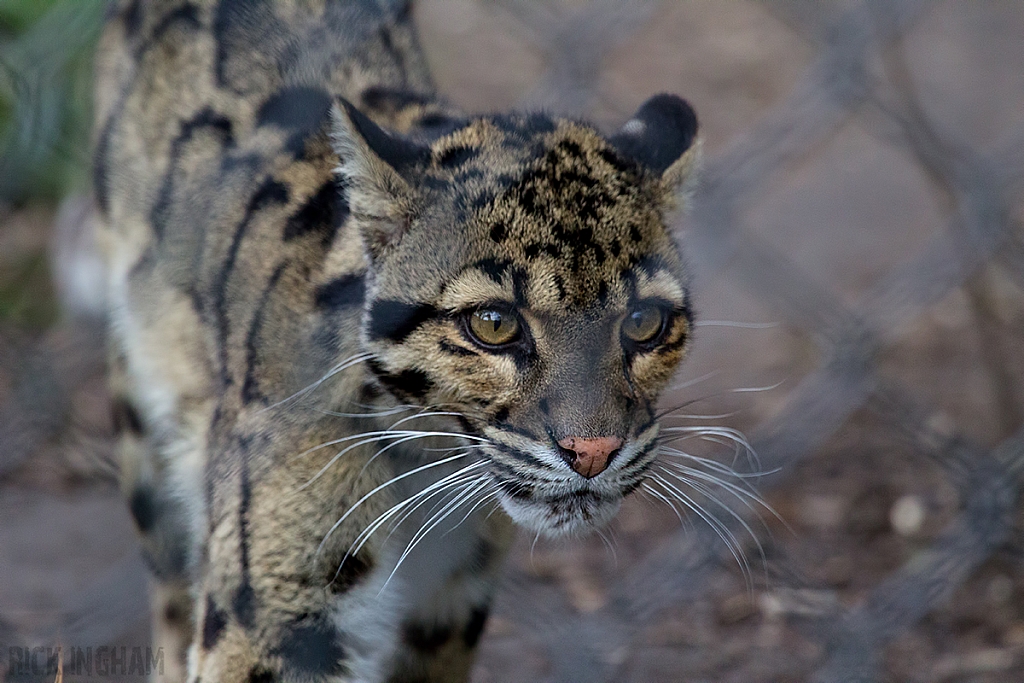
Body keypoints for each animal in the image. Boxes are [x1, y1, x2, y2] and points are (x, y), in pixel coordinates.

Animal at [96, 1, 700, 683]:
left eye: (644, 322)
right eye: (493, 323)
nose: (594, 453)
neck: (425, 459)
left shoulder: (452, 603)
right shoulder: (276, 612)